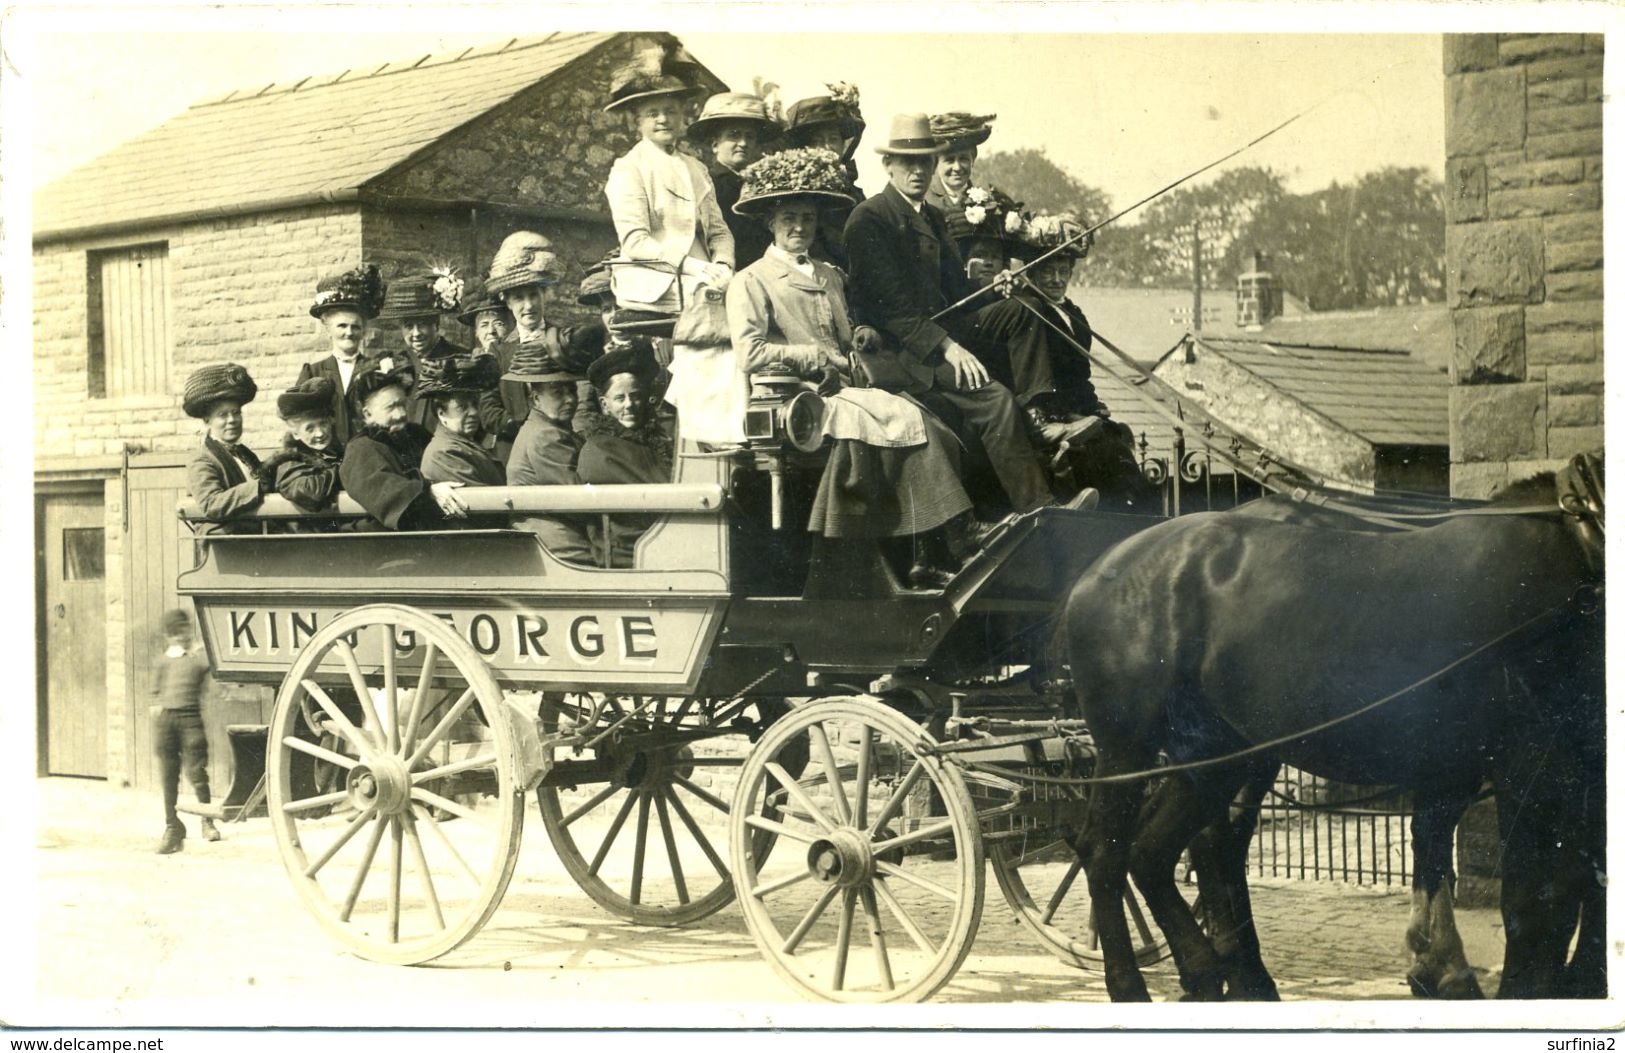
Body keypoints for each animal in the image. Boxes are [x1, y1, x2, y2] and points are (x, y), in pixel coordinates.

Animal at [1059, 471, 1605, 1001]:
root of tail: (1098, 570)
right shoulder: (1532, 760)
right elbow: (1536, 896)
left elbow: (1575, 881)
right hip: (1128, 745)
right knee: (1106, 852)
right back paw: (1132, 986)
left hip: (1217, 753)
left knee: (1163, 849)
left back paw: (1215, 975)